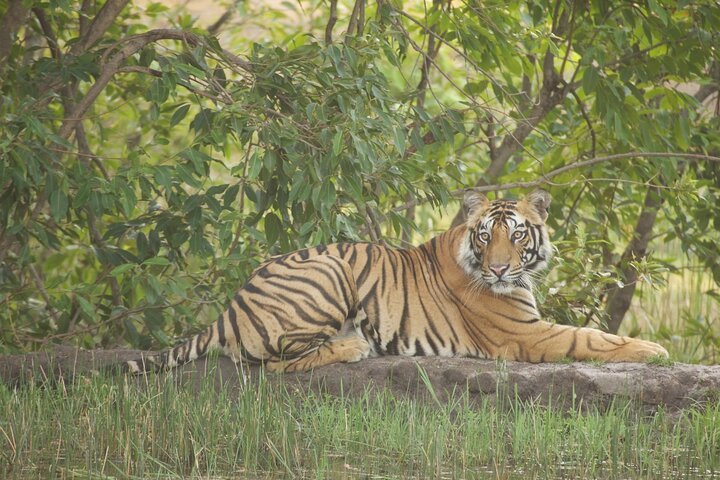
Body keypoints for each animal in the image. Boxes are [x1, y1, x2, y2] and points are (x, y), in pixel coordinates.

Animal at [124, 189, 669, 374]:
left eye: (516, 234)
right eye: (486, 235)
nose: (497, 269)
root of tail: (229, 308)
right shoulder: (526, 334)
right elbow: (593, 337)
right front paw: (656, 350)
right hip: (329, 271)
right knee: (271, 364)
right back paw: (353, 347)